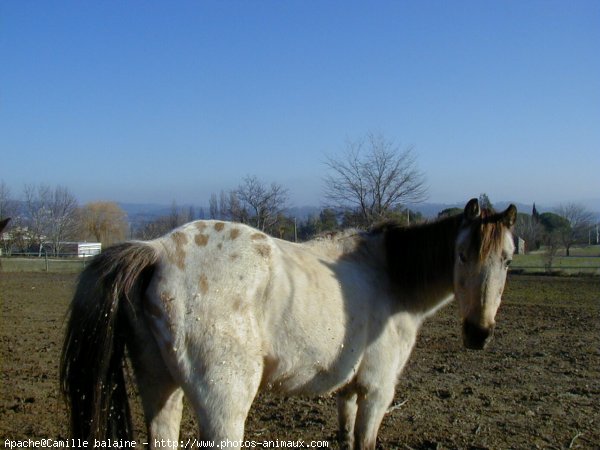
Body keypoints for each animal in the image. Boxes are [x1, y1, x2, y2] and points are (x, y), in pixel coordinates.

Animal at [61, 199, 516, 448]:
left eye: (507, 259)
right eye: (461, 255)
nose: (478, 333)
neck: (388, 275)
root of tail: (157, 249)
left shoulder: (348, 392)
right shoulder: (377, 392)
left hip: (160, 389)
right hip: (224, 407)